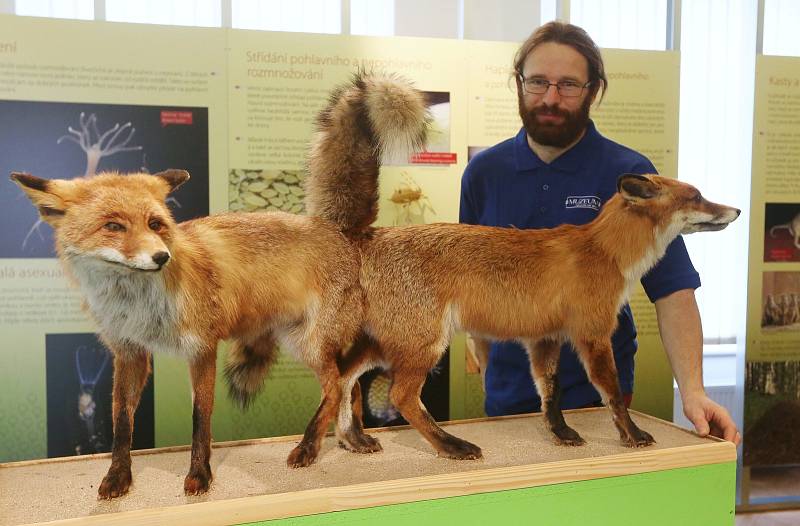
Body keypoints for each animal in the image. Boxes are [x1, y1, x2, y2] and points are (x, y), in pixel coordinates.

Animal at [290, 73, 740, 466]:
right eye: (696, 196)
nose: (735, 210)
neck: (606, 251)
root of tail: (370, 234)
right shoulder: (593, 334)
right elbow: (612, 394)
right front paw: (632, 435)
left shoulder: (546, 338)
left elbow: (550, 394)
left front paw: (562, 434)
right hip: (422, 343)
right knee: (399, 395)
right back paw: (450, 445)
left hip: (385, 340)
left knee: (341, 379)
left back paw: (332, 443)